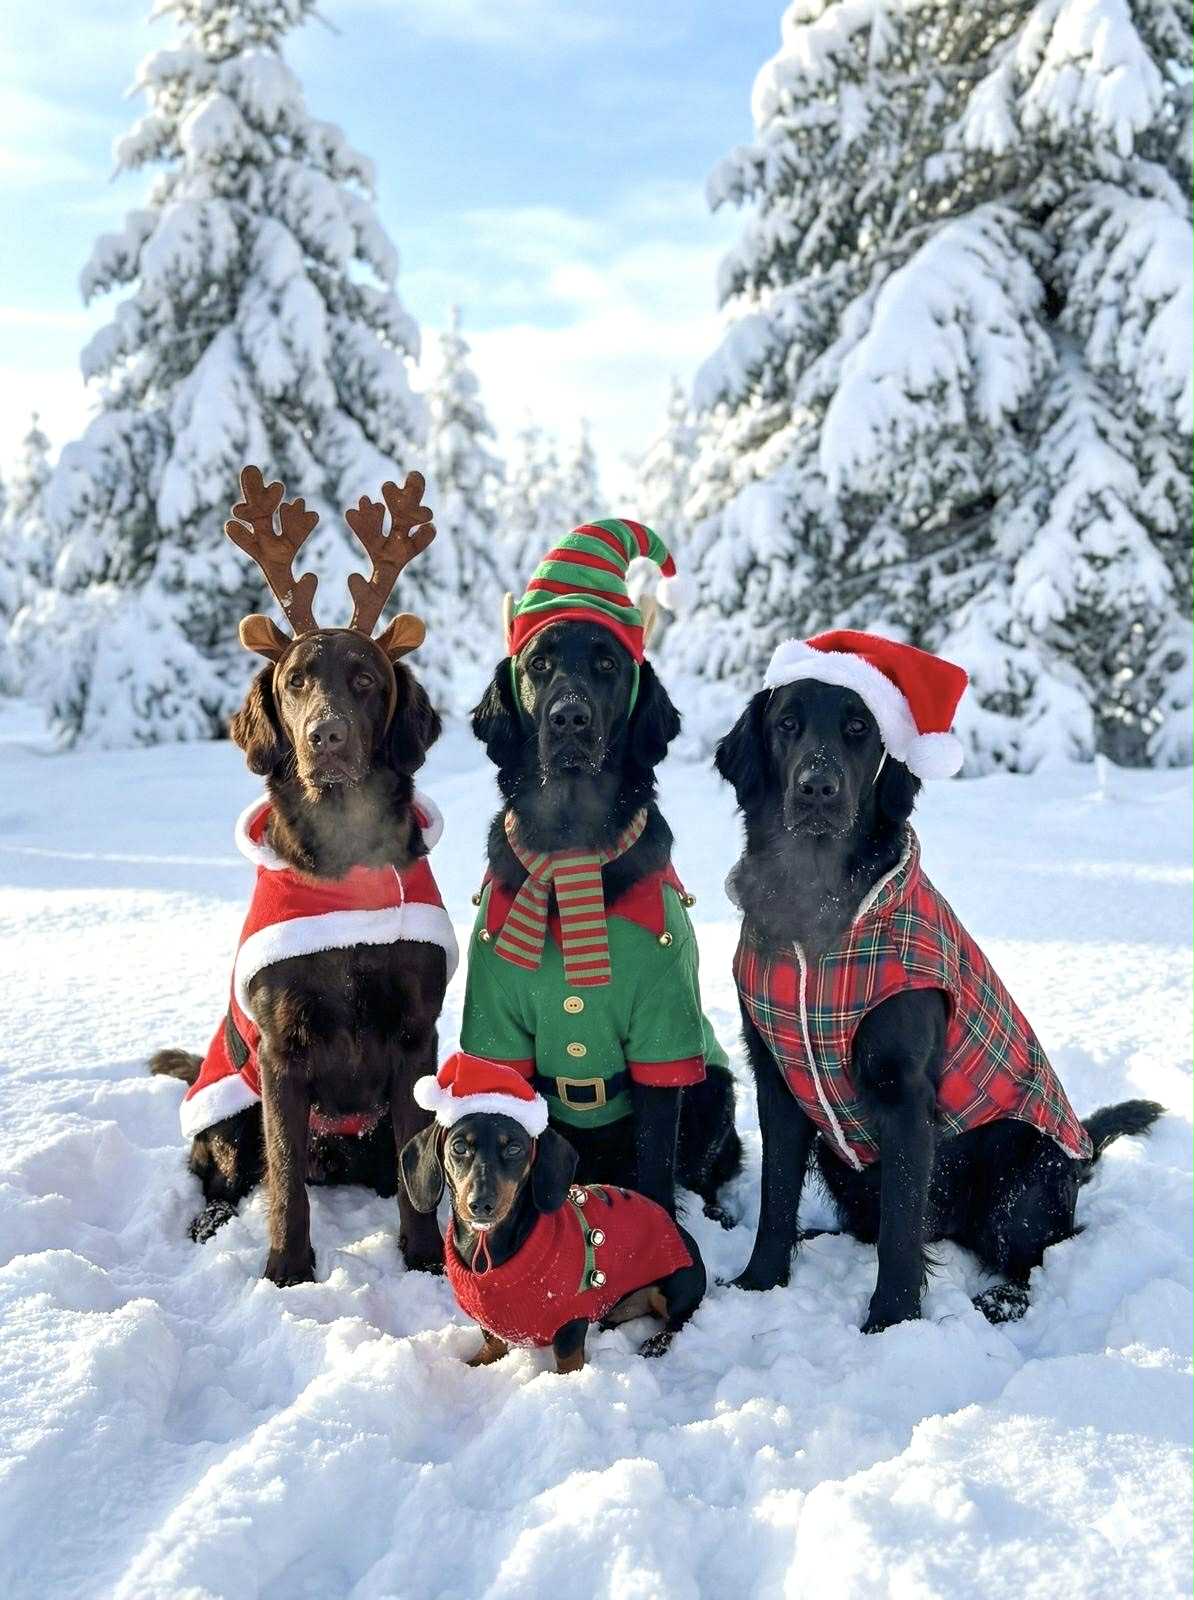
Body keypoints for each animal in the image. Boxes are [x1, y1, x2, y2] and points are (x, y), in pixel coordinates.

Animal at [401, 1053, 706, 1371]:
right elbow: (492, 1340)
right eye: (459, 1147)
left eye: (514, 1148)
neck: (487, 1248)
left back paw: (656, 1342)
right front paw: (478, 1364)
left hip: (677, 1286)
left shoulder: (570, 1321)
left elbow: (568, 1357)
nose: (480, 1204)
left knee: (680, 1318)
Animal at [466, 613, 741, 1220]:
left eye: (607, 664)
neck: (572, 851)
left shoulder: (665, 1038)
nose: (570, 716)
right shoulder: (497, 1034)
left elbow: (657, 1163)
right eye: (539, 663)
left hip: (715, 1082)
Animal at [715, 650, 1163, 1331]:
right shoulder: (778, 1078)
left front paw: (891, 1322)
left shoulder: (906, 1095)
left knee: (1039, 1253)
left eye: (859, 729)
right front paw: (759, 1284)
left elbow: (902, 1227)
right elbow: (775, 1197)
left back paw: (998, 1299)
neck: (819, 911)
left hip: (1018, 1167)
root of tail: (1078, 1160)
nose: (818, 787)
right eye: (787, 724)